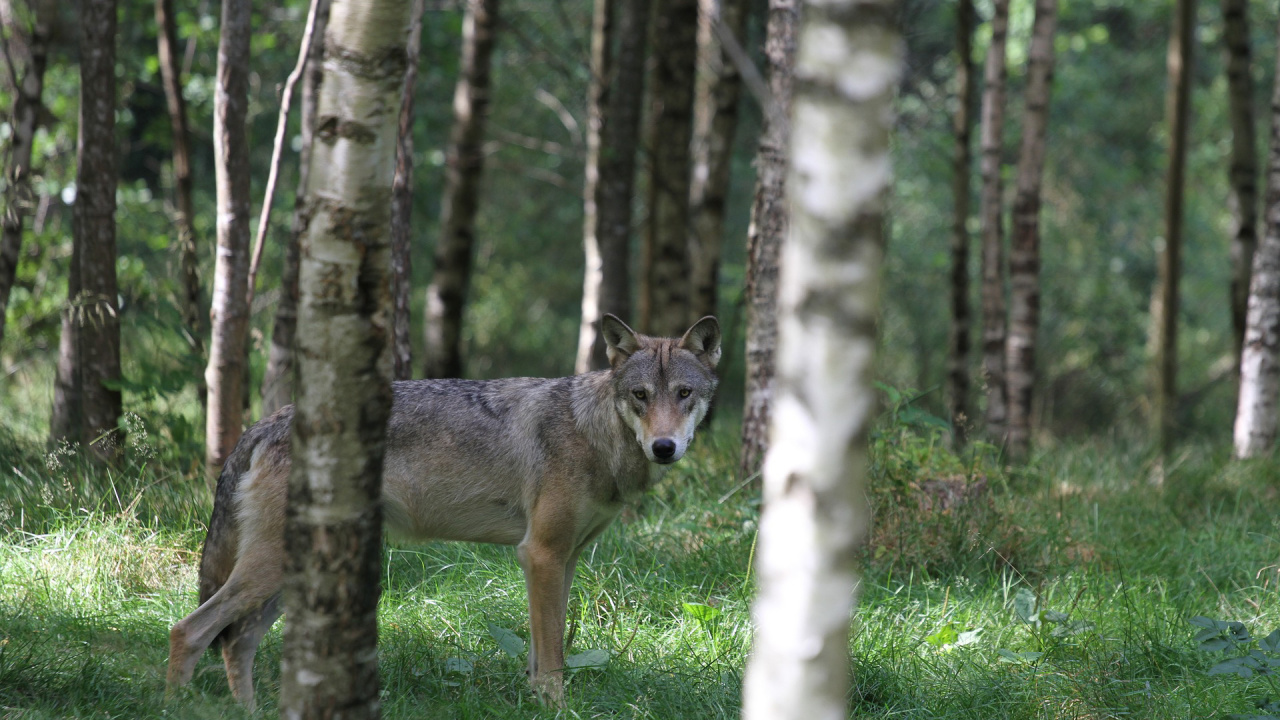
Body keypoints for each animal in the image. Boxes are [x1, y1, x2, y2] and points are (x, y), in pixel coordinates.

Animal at [166, 314, 720, 709]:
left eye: (684, 394)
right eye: (640, 395)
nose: (664, 447)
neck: (594, 433)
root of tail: (266, 422)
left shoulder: (564, 561)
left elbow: (544, 652)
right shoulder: (540, 555)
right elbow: (552, 660)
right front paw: (555, 709)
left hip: (287, 577)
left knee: (236, 643)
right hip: (269, 571)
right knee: (188, 631)